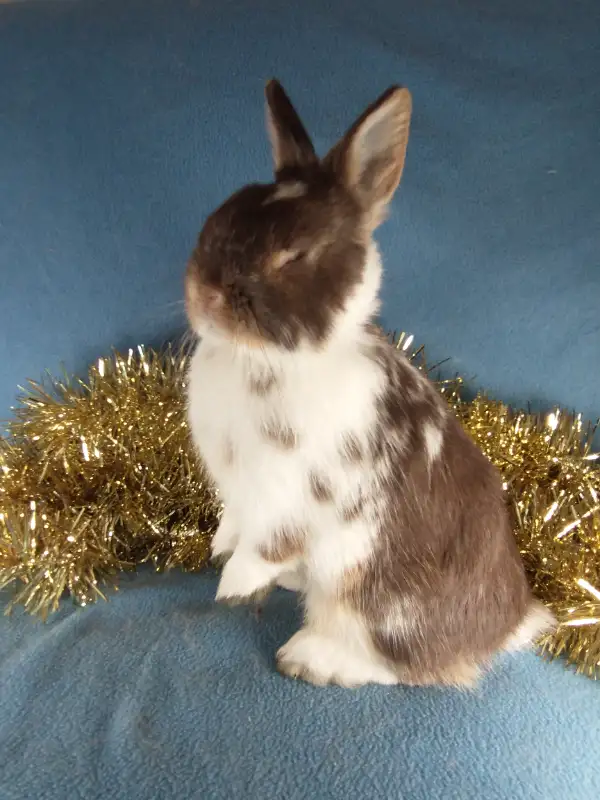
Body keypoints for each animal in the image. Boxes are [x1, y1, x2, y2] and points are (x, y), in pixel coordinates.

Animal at [184, 79, 555, 688]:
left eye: (294, 254)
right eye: (219, 216)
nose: (205, 295)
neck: (265, 361)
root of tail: (509, 626)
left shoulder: (291, 495)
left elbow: (264, 546)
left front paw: (231, 587)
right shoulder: (239, 492)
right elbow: (235, 525)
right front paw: (220, 550)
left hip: (376, 603)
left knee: (396, 664)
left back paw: (309, 658)